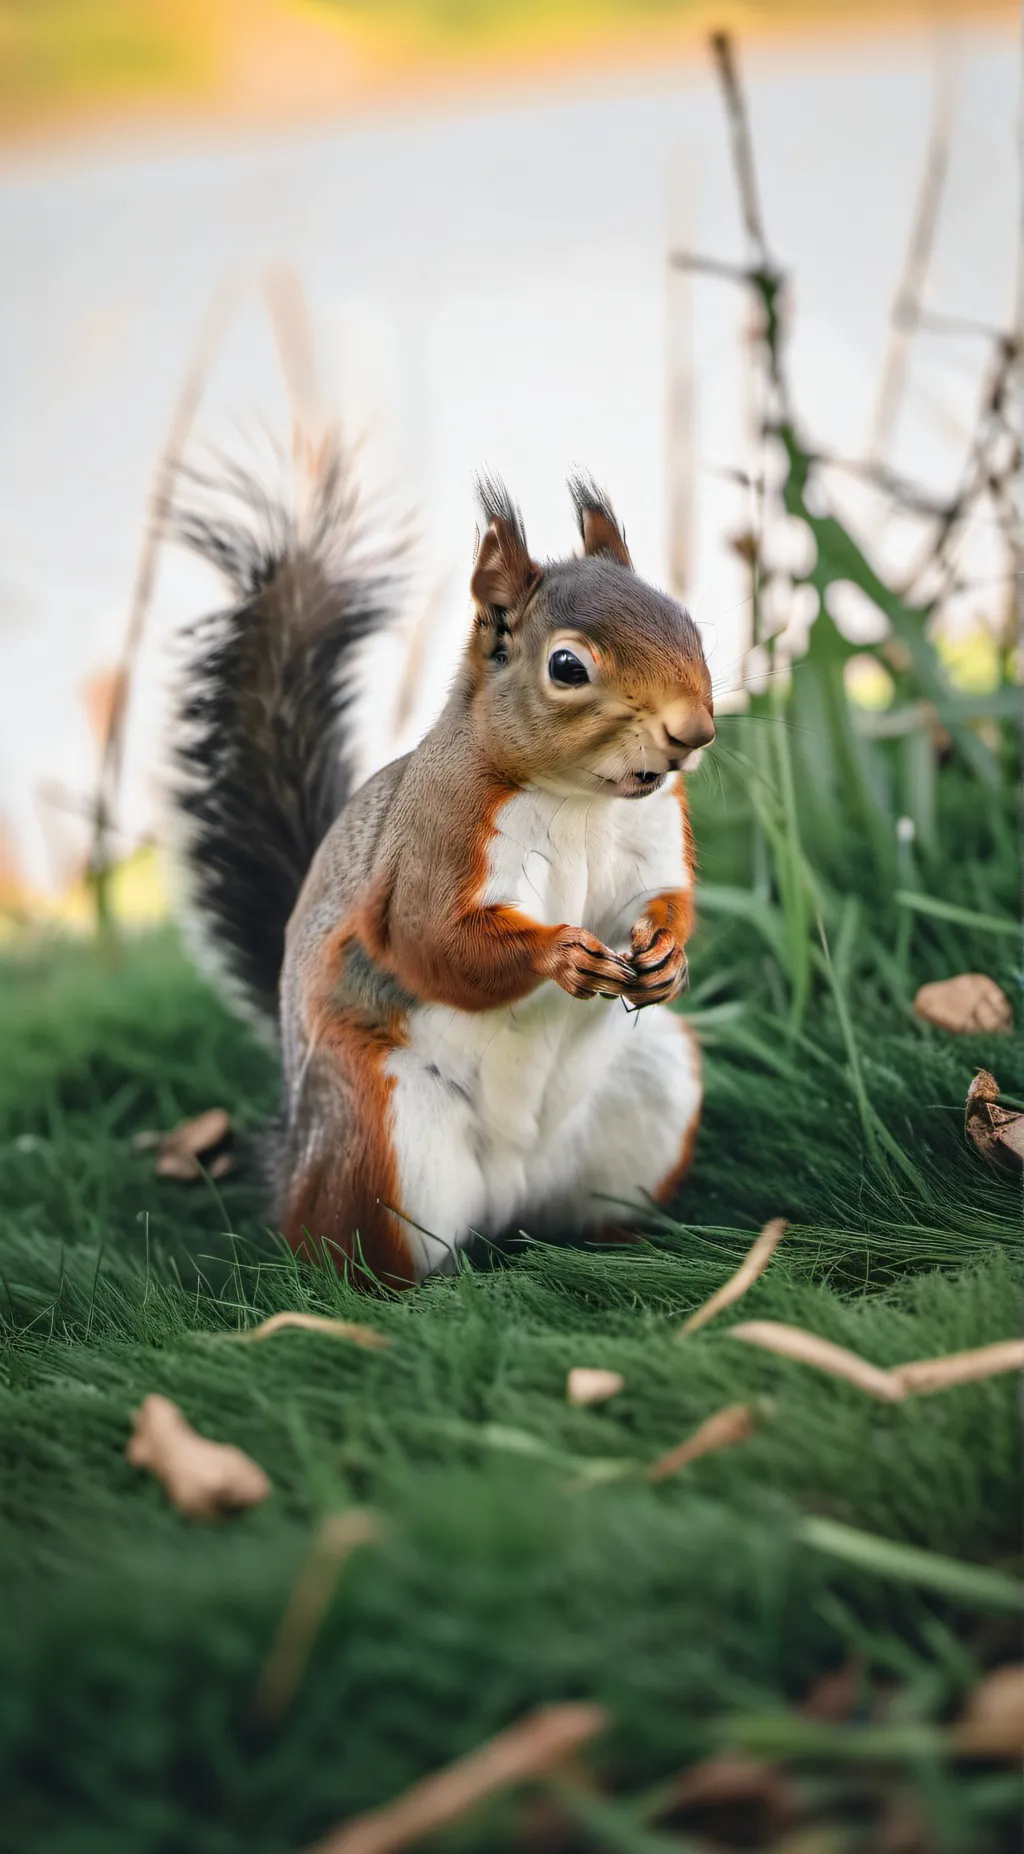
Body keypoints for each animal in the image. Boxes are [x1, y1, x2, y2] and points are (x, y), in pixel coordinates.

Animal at [170, 439, 714, 1286]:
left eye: (688, 621)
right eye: (568, 667)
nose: (695, 731)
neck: (580, 800)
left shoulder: (655, 833)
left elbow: (661, 898)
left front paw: (667, 955)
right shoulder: (437, 838)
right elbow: (431, 939)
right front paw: (559, 954)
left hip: (653, 1092)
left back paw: (628, 1247)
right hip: (383, 1132)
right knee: (359, 1253)